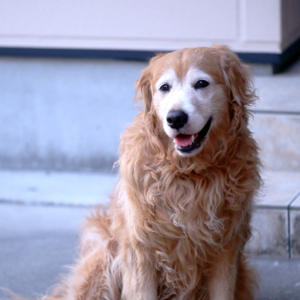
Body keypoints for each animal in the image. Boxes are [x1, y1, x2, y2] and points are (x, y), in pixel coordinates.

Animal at [12, 46, 262, 300]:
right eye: (164, 87)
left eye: (202, 83)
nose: (175, 118)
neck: (188, 174)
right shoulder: (140, 251)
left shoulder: (226, 249)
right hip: (104, 258)